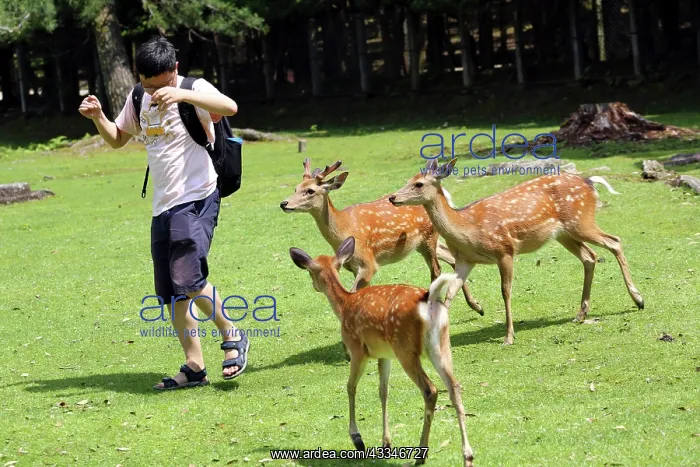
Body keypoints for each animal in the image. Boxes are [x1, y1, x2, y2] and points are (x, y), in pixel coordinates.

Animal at [280, 158, 484, 315]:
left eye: (310, 191)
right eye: (296, 188)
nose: (284, 203)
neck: (343, 227)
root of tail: (445, 196)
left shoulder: (368, 262)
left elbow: (353, 292)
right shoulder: (351, 265)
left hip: (428, 237)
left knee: (437, 269)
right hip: (423, 243)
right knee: (452, 258)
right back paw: (477, 306)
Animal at [289, 236, 475, 467]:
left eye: (310, 271)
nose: (314, 286)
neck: (344, 305)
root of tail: (430, 300)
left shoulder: (357, 349)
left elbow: (350, 387)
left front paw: (357, 439)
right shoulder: (385, 355)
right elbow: (383, 391)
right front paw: (386, 444)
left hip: (405, 348)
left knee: (430, 390)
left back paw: (421, 454)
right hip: (440, 345)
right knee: (454, 386)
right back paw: (467, 455)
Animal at [389, 158, 645, 345]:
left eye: (419, 184)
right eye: (409, 179)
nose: (392, 197)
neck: (467, 229)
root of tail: (590, 181)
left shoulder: (505, 250)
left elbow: (506, 291)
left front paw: (509, 337)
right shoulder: (465, 261)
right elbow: (450, 293)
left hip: (581, 221)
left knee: (614, 242)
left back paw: (639, 299)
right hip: (564, 234)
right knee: (590, 257)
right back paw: (581, 314)